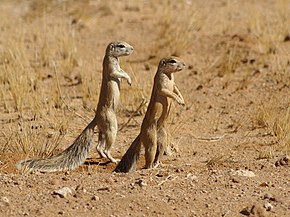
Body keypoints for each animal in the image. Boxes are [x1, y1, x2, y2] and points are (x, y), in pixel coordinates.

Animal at [16, 41, 134, 173]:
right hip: (111, 126)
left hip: (103, 130)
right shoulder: (111, 67)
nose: (132, 49)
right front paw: (129, 79)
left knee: (99, 147)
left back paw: (103, 156)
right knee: (105, 148)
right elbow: (119, 73)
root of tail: (96, 118)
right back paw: (113, 160)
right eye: (121, 46)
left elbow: (122, 71)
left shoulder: (117, 66)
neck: (113, 57)